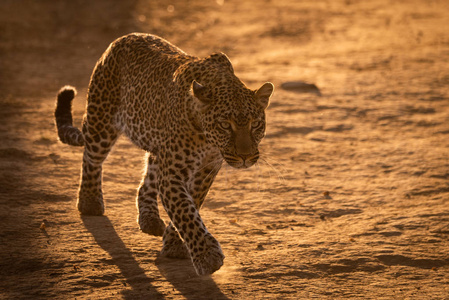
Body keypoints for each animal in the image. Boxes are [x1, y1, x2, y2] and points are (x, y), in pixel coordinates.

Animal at [55, 32, 272, 274]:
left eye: (256, 124)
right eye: (225, 125)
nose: (245, 157)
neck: (207, 139)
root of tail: (123, 38)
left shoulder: (205, 170)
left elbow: (192, 203)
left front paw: (175, 245)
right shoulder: (173, 174)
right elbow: (184, 210)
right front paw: (206, 256)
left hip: (157, 149)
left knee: (146, 181)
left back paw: (149, 219)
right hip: (101, 121)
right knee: (91, 158)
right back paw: (89, 201)